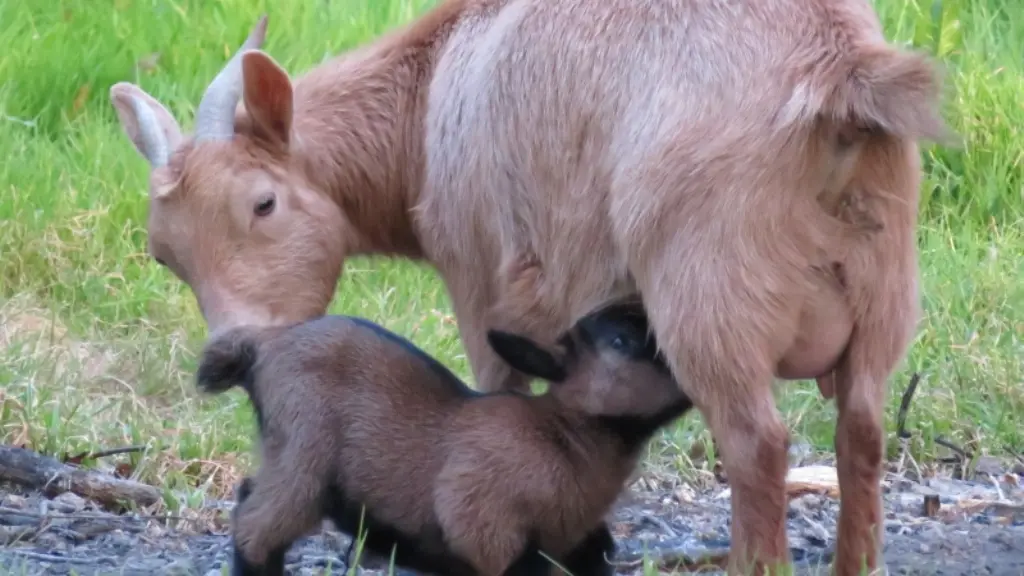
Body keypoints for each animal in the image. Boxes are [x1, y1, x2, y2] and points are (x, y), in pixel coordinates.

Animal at [108, 2, 946, 569]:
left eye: (263, 203)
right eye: (164, 255)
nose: (235, 345)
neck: (430, 94)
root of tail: (840, 76)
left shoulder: (481, 277)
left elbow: (497, 396)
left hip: (708, 295)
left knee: (757, 446)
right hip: (883, 298)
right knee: (862, 434)